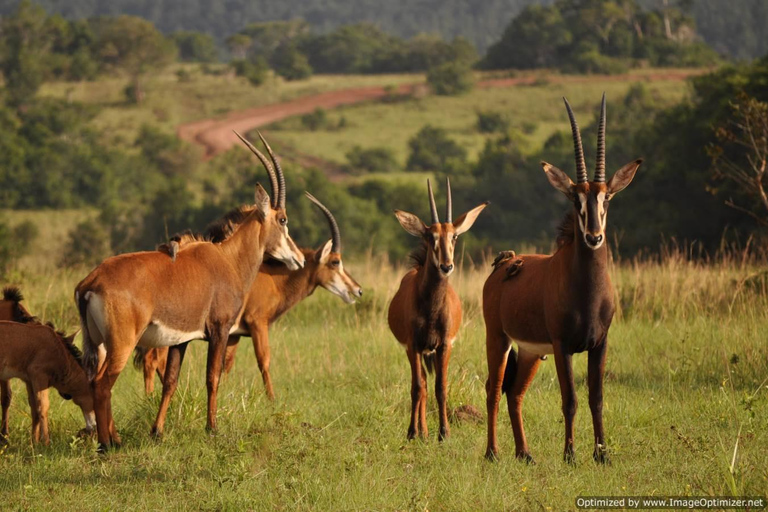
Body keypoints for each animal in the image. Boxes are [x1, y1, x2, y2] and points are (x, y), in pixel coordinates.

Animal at [0, 288, 96, 444]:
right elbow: (42, 407)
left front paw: (34, 442)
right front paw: (45, 442)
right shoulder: (39, 376)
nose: (92, 428)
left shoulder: (29, 379)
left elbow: (34, 408)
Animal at [75, 132, 306, 452]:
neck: (228, 259)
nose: (300, 258)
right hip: (121, 343)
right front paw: (212, 428)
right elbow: (212, 377)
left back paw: (115, 438)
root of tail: (92, 281)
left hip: (99, 344)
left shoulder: (179, 341)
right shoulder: (220, 329)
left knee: (94, 381)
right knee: (103, 384)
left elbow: (170, 382)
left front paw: (157, 431)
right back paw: (108, 444)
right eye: (283, 219)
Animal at [141, 192, 364, 400]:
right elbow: (264, 360)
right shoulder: (258, 322)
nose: (358, 290)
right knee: (152, 359)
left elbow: (227, 364)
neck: (273, 280)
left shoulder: (234, 334)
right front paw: (272, 399)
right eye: (335, 262)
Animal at [388, 180, 488, 440]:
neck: (431, 308)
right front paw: (412, 432)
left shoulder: (444, 344)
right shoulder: (413, 345)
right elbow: (417, 387)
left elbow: (441, 387)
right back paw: (421, 431)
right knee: (421, 383)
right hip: (415, 350)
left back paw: (426, 431)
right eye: (430, 236)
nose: (446, 266)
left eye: (454, 236)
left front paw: (444, 433)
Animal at [486, 93, 640, 464]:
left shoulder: (600, 344)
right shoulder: (563, 346)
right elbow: (569, 399)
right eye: (575, 197)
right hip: (498, 340)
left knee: (514, 393)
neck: (587, 293)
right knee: (493, 390)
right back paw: (492, 453)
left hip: (530, 352)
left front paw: (602, 454)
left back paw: (524, 453)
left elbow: (596, 398)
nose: (594, 236)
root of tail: (504, 263)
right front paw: (570, 454)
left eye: (606, 196)